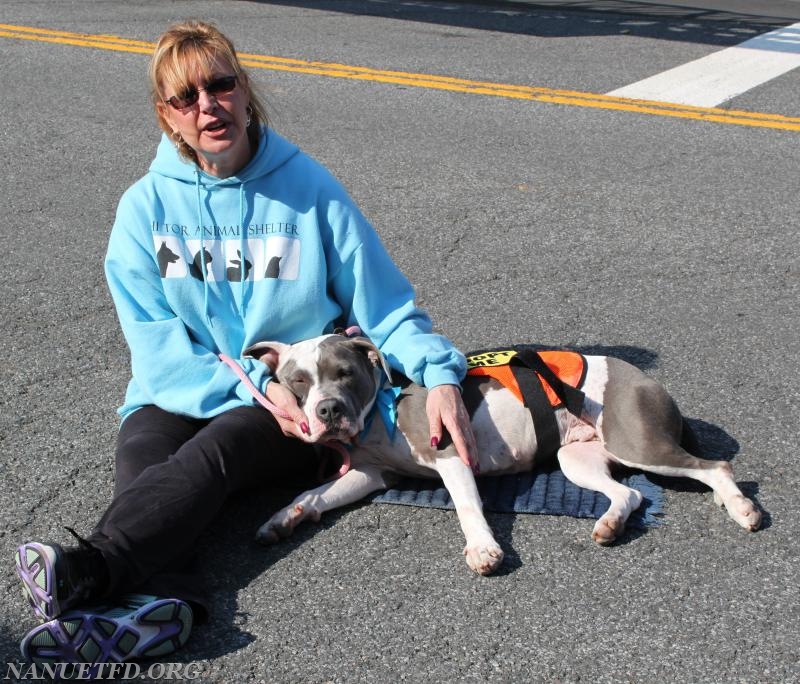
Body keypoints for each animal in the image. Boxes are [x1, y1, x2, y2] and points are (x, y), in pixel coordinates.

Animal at [245, 334, 764, 576]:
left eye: (345, 373)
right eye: (298, 381)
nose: (328, 410)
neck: (379, 411)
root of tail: (647, 379)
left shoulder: (451, 453)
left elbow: (467, 505)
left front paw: (483, 548)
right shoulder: (371, 474)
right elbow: (312, 495)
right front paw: (281, 518)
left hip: (638, 445)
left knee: (714, 466)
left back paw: (741, 508)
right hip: (577, 460)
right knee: (630, 495)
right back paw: (610, 524)